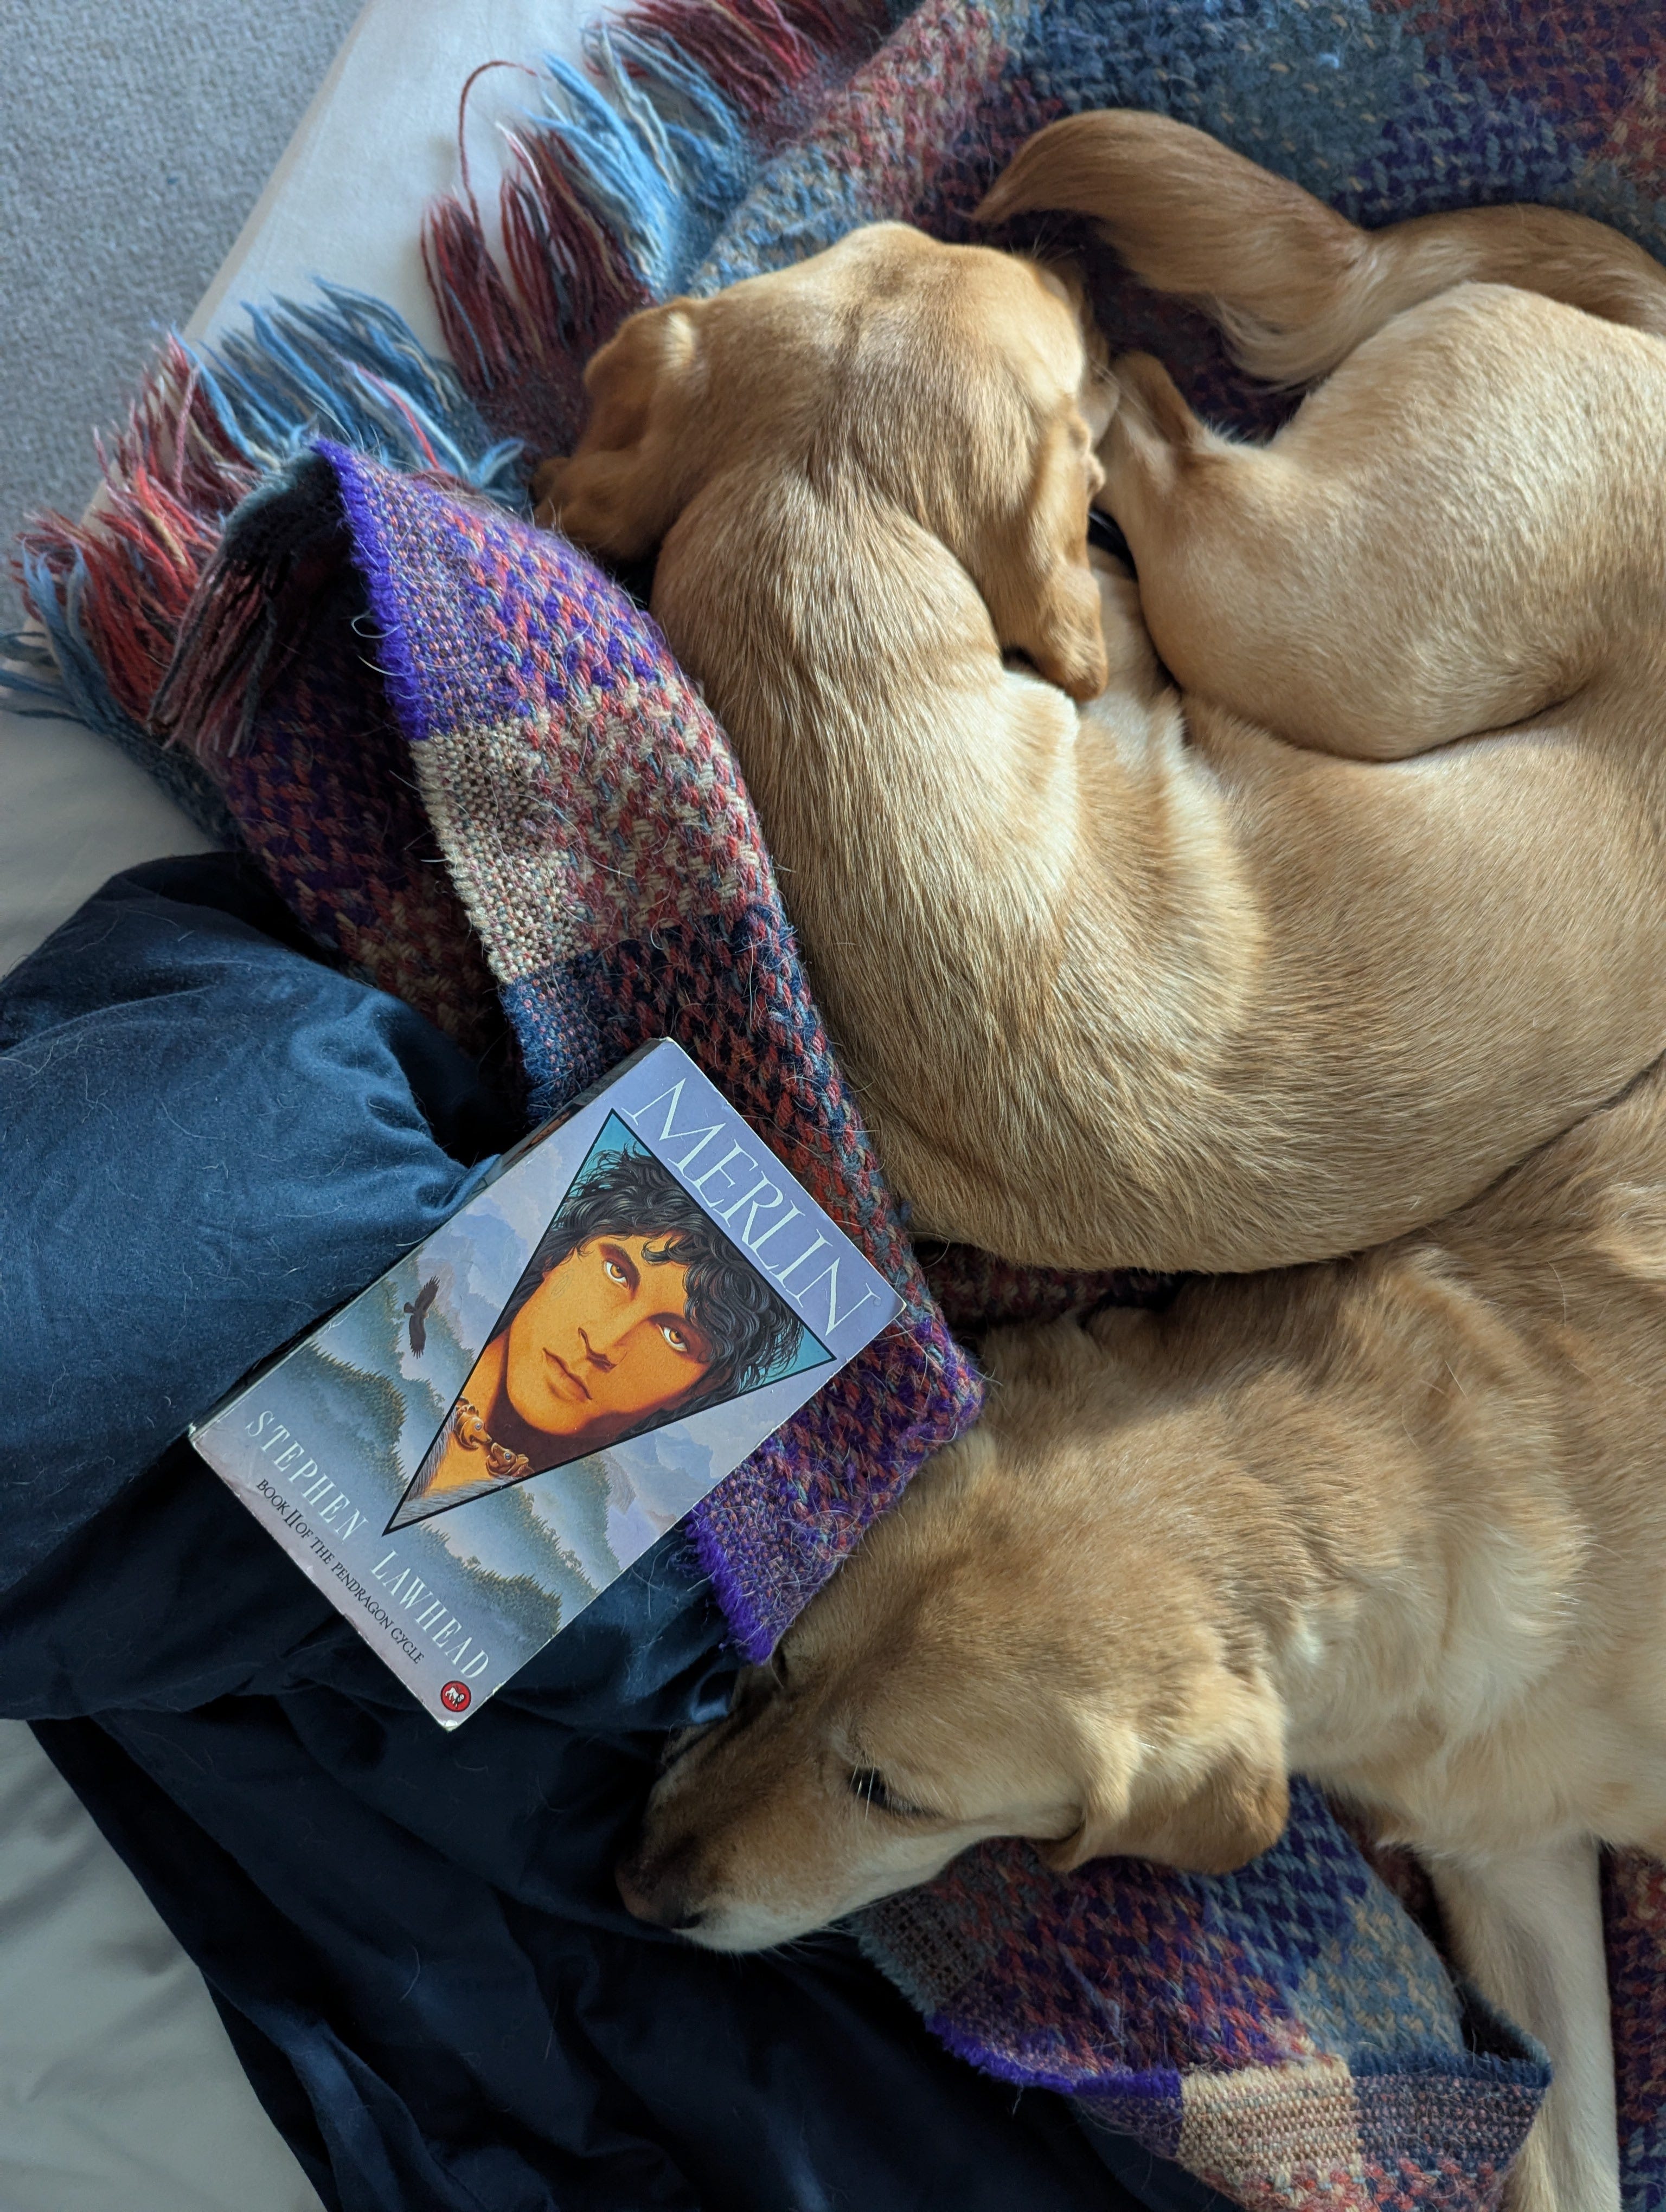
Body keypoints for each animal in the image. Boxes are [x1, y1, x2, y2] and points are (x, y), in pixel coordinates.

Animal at [534, 111, 1666, 1277]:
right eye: (1043, 304)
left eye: (909, 238)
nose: (1064, 265)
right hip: (1285, 601)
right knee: (1169, 444)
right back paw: (1135, 386)